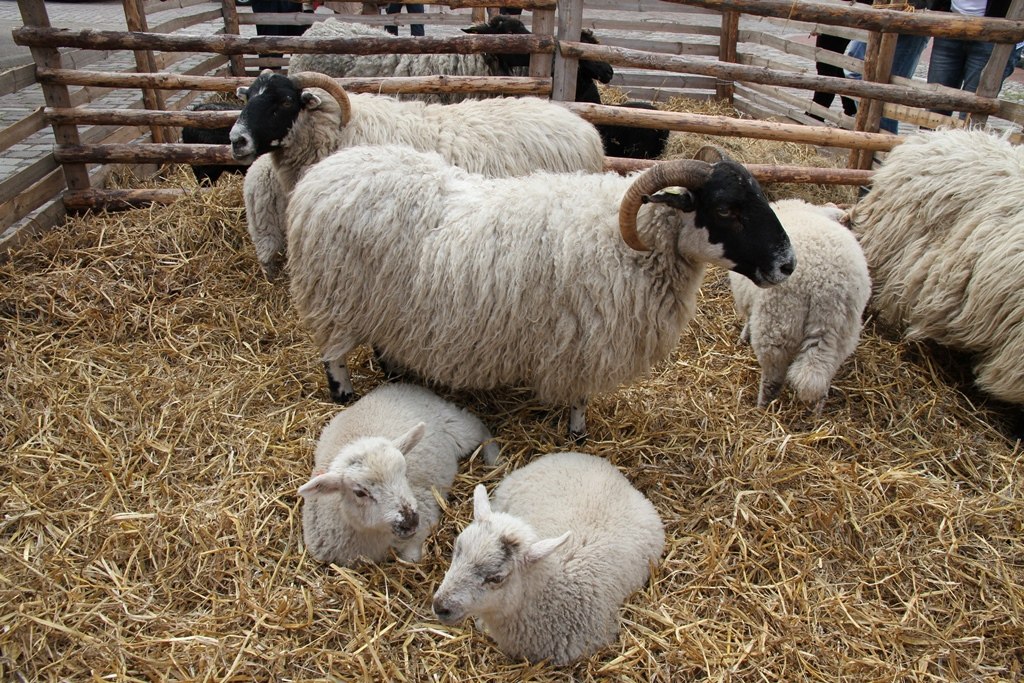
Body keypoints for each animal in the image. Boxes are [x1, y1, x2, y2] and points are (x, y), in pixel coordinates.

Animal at [285, 143, 796, 439]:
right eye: (727, 209)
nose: (788, 264)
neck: (626, 241)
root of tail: (324, 172)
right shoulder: (584, 340)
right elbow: (580, 398)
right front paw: (577, 435)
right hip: (336, 293)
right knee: (332, 353)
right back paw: (344, 393)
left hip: (378, 299)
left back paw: (391, 368)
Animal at [298, 382, 499, 566]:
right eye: (360, 493)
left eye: (404, 473)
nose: (410, 521)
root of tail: (402, 385)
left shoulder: (426, 516)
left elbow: (411, 558)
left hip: (456, 426)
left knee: (479, 426)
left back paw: (494, 457)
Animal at [728, 198, 871, 411]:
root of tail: (829, 286)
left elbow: (747, 320)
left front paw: (743, 338)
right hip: (841, 334)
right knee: (822, 379)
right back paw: (816, 414)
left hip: (777, 324)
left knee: (772, 378)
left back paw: (763, 408)